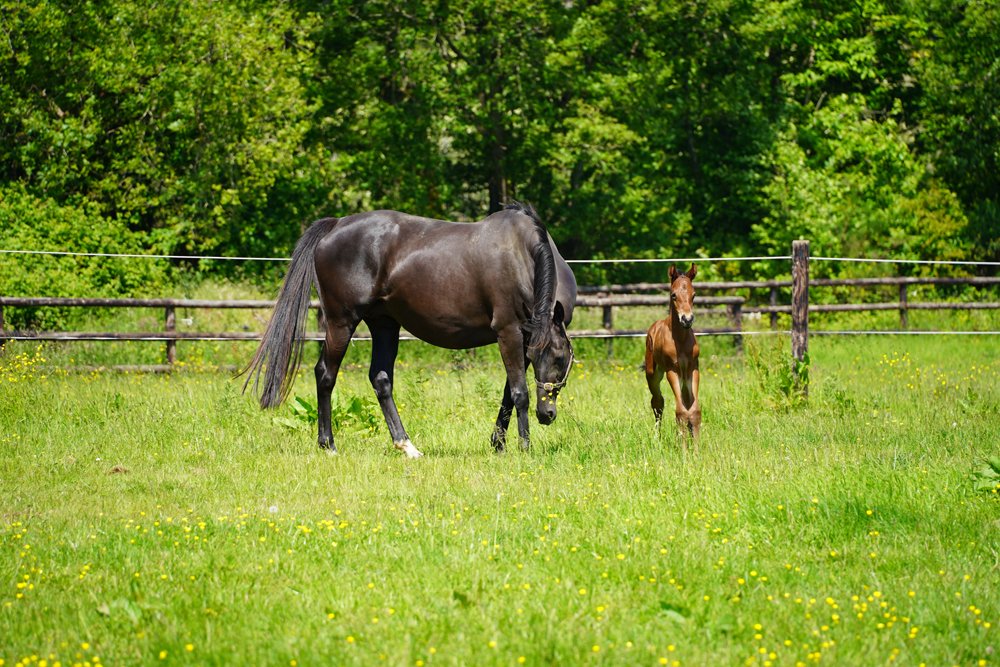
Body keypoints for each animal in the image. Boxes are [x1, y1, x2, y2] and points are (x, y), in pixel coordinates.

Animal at [242, 202, 577, 458]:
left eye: (560, 359)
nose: (547, 414)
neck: (522, 255)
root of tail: (335, 225)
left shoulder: (523, 336)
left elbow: (509, 392)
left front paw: (499, 444)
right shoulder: (508, 332)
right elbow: (519, 392)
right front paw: (524, 447)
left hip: (384, 325)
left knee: (381, 379)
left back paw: (406, 446)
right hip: (341, 322)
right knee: (325, 374)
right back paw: (329, 445)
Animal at [644, 263, 700, 448]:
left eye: (694, 294)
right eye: (673, 295)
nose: (687, 319)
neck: (680, 340)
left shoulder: (693, 369)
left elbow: (693, 410)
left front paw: (696, 449)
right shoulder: (672, 370)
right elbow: (681, 412)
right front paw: (684, 449)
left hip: (684, 377)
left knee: (685, 401)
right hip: (653, 374)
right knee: (658, 402)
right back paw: (656, 438)